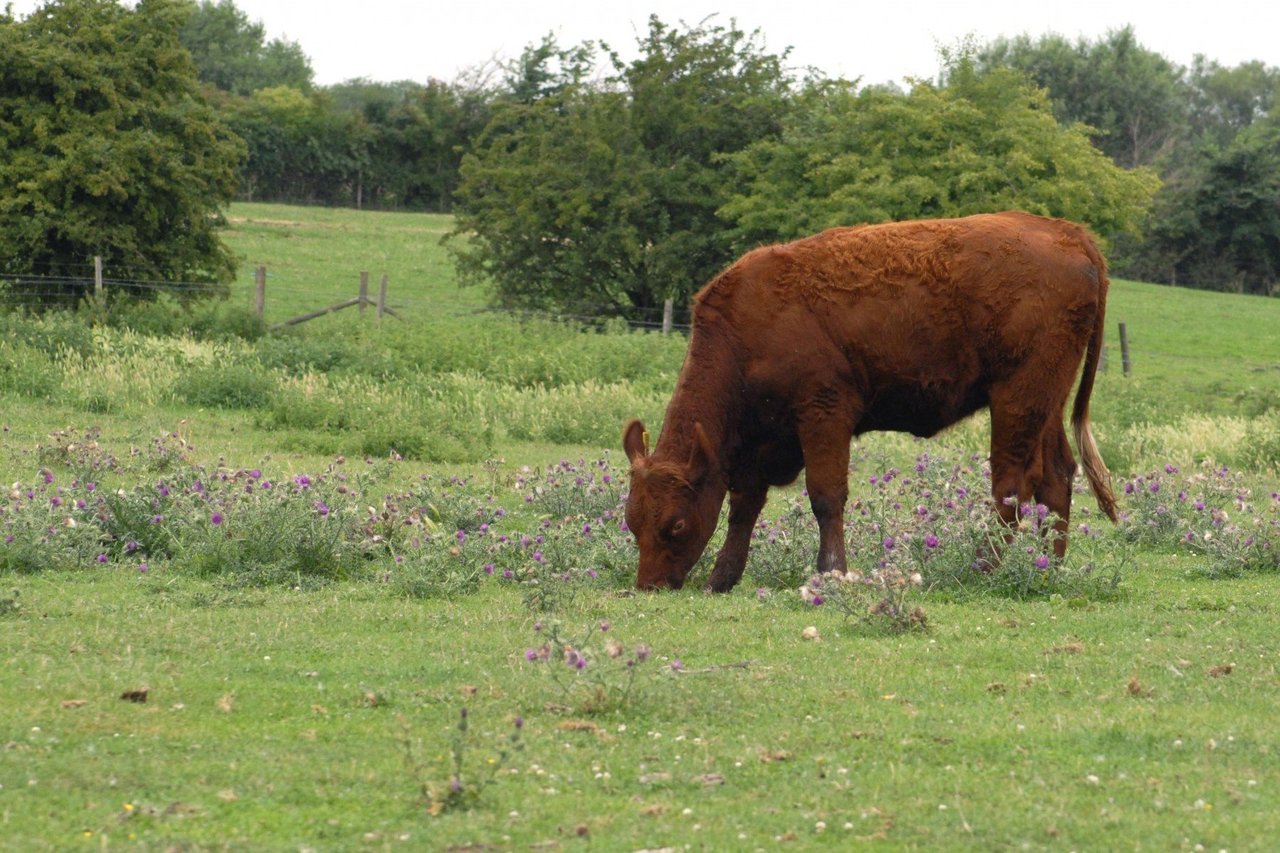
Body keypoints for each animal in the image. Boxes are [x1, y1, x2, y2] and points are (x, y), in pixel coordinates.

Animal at [624, 208, 1116, 589]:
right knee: (1056, 476)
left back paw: (983, 567)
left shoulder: (823, 415)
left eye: (675, 524)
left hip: (1017, 397)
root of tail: (1067, 232)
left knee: (1011, 486)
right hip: (1045, 402)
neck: (746, 329)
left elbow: (826, 496)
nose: (650, 584)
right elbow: (744, 507)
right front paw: (722, 578)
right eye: (631, 521)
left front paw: (832, 571)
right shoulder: (757, 443)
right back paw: (1049, 568)